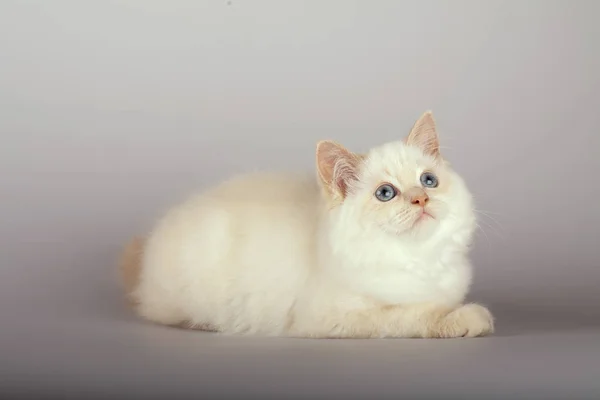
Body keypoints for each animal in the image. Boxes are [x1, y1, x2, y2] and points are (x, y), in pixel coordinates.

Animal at [119, 110, 494, 338]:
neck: (419, 258)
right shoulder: (332, 316)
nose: (421, 199)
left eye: (428, 181)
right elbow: (413, 314)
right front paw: (469, 318)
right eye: (386, 193)